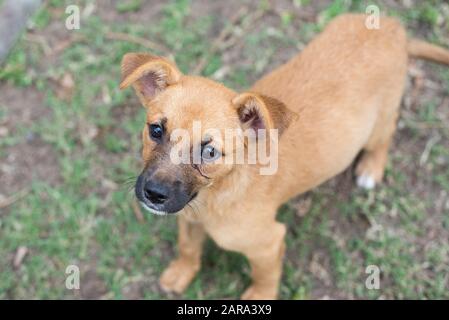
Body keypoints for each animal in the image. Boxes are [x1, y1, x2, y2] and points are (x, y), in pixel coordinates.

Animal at [119, 14, 448, 300]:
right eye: (156, 130)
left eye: (210, 151)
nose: (154, 194)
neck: (216, 193)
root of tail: (396, 30)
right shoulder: (188, 218)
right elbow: (187, 246)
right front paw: (181, 272)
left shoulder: (268, 242)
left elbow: (264, 275)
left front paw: (261, 295)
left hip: (380, 120)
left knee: (386, 133)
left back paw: (371, 167)